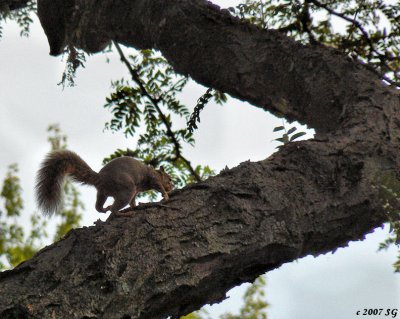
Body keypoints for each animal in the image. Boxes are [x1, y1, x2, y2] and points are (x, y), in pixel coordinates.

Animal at [34, 151, 172, 216]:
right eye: (169, 179)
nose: (172, 186)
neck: (156, 172)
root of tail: (100, 178)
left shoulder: (136, 192)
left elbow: (133, 201)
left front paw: (135, 205)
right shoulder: (153, 179)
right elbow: (159, 187)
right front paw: (165, 195)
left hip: (102, 193)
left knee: (98, 207)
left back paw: (106, 208)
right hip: (126, 189)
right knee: (115, 210)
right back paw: (122, 213)